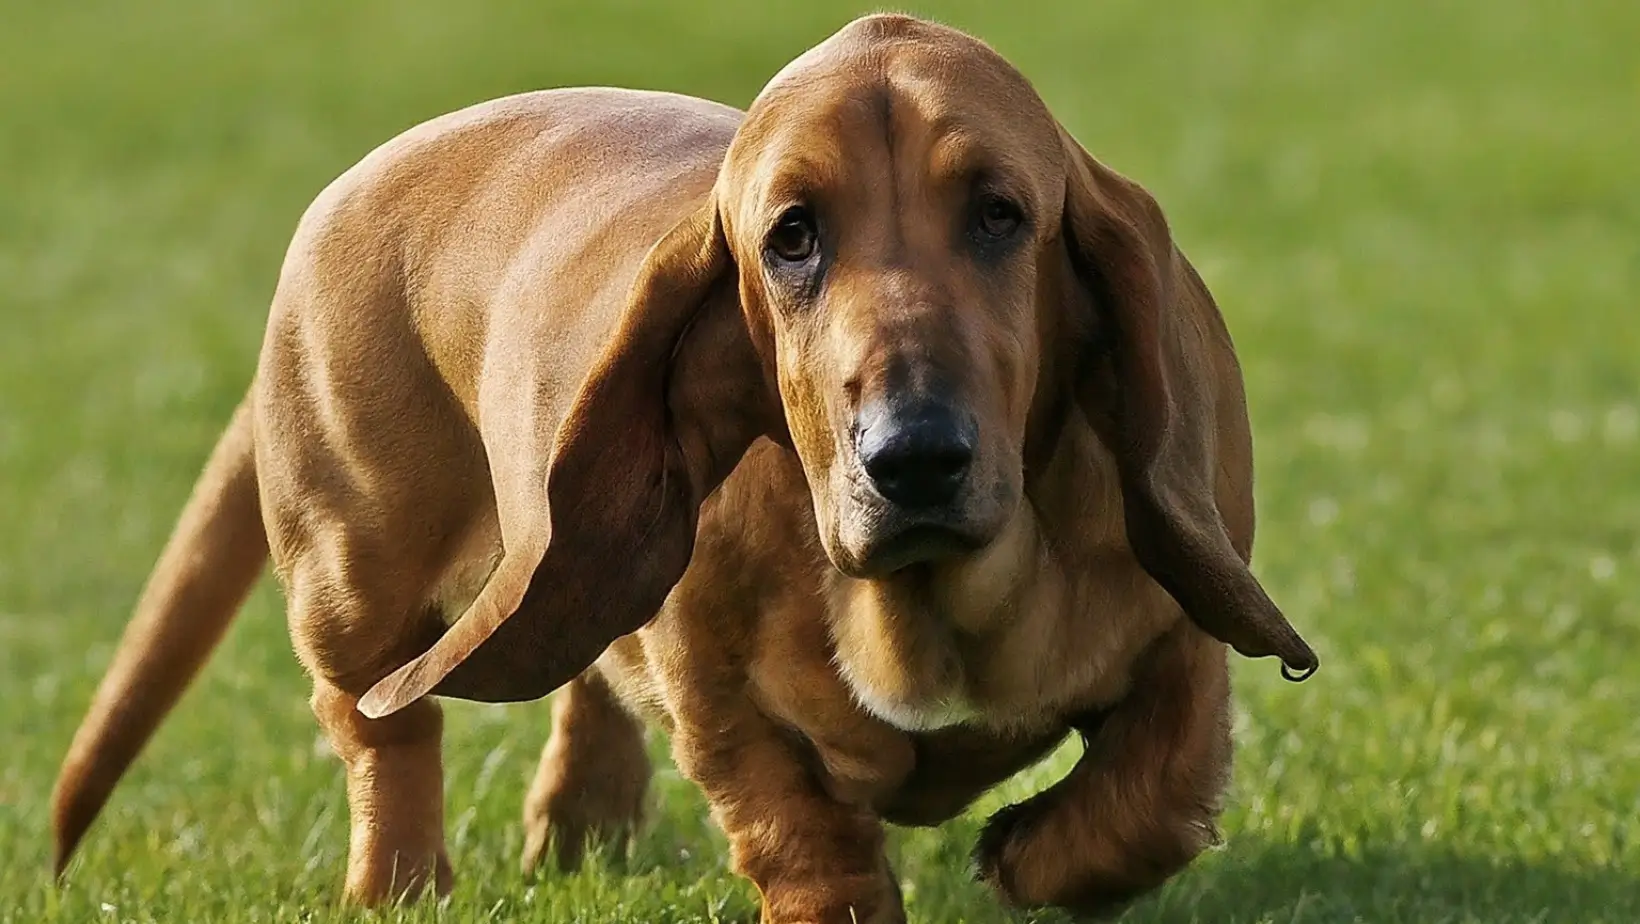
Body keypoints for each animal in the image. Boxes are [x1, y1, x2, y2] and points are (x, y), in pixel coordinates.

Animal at [51, 16, 1318, 924]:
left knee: (579, 675)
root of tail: (367, 170)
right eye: (791, 235)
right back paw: (399, 887)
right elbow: (799, 837)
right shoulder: (720, 703)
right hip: (353, 578)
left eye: (1001, 214)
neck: (922, 608)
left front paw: (1026, 855)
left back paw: (583, 834)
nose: (911, 458)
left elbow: (1154, 793)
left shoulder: (1180, 637)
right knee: (380, 732)